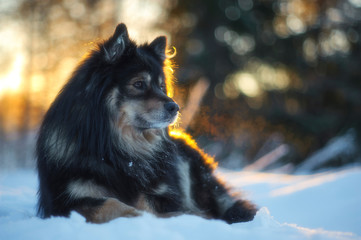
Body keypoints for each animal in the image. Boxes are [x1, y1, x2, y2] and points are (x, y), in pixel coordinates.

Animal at [36, 23, 256, 224]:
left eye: (161, 87)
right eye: (139, 84)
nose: (175, 107)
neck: (118, 151)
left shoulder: (166, 194)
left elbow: (148, 201)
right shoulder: (63, 201)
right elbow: (105, 204)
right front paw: (135, 214)